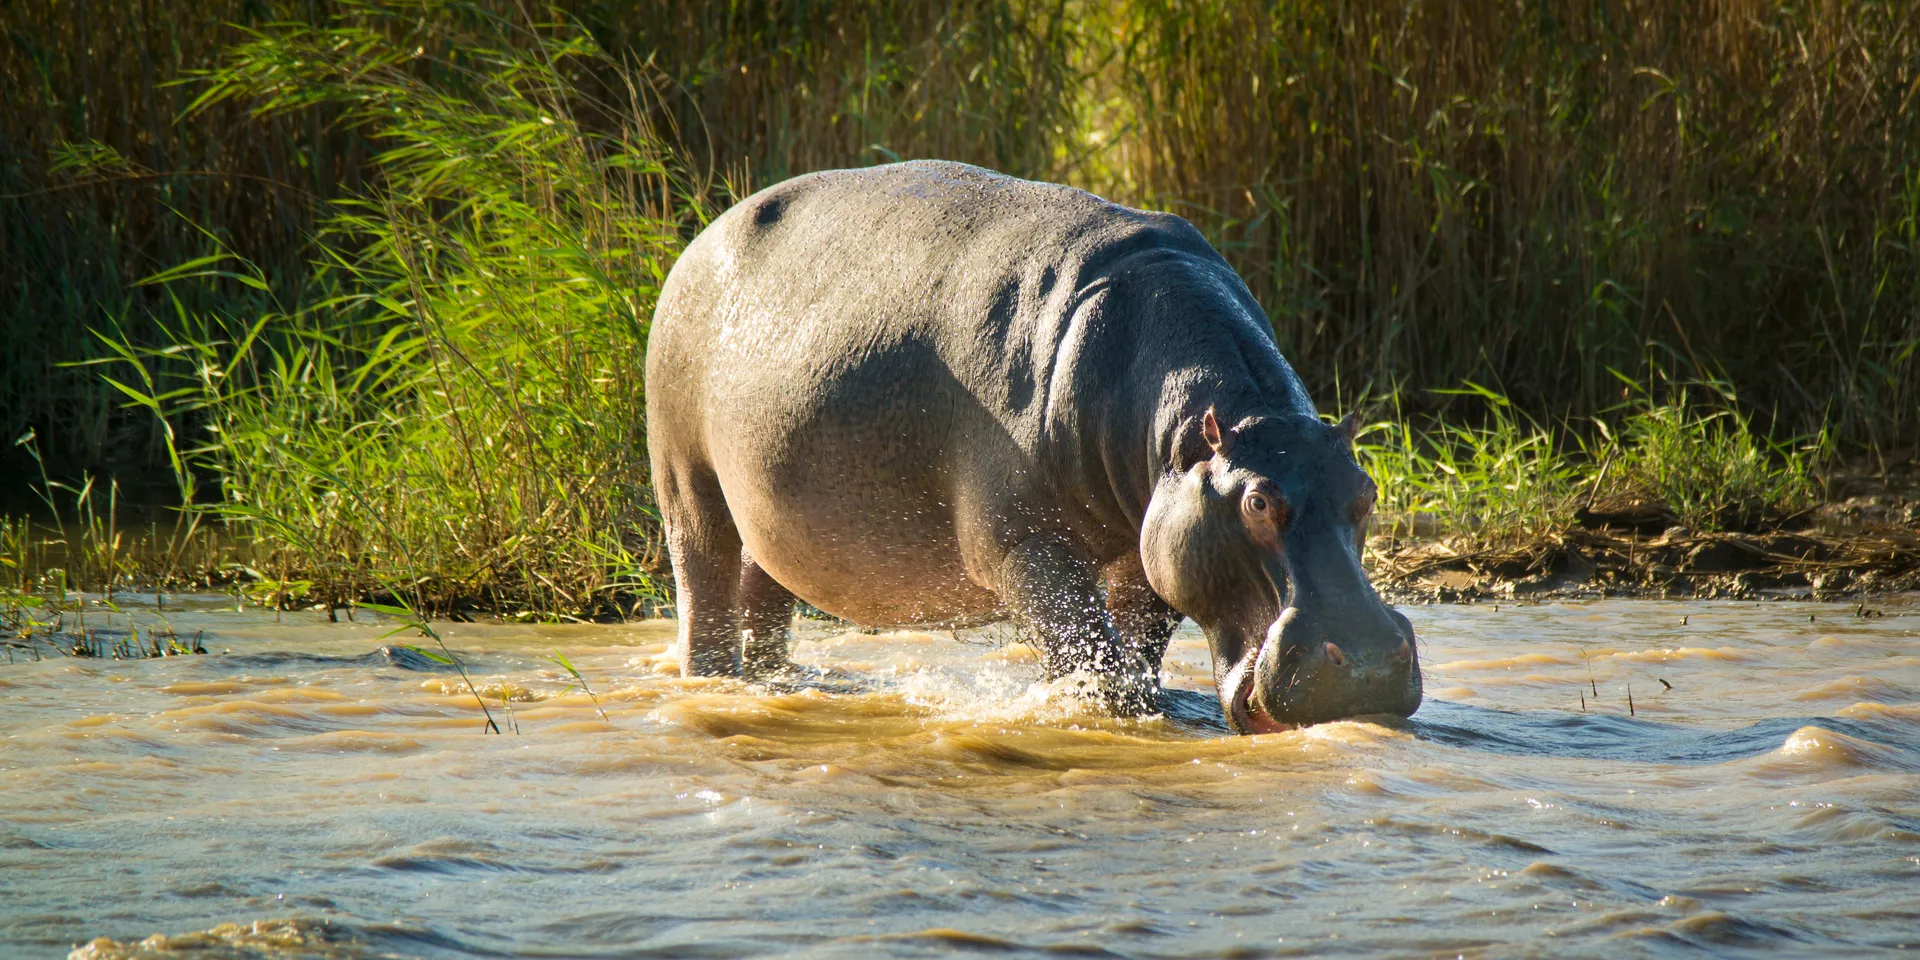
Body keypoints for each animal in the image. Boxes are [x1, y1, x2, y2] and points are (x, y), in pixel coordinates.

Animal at [645, 161, 1421, 731]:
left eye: (1367, 492)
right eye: (1257, 502)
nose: (1369, 663)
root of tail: (707, 231)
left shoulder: (1151, 544)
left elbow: (1135, 645)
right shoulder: (1024, 545)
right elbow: (1089, 651)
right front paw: (1089, 709)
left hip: (776, 514)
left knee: (764, 590)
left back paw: (778, 682)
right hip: (687, 482)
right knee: (703, 584)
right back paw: (712, 682)